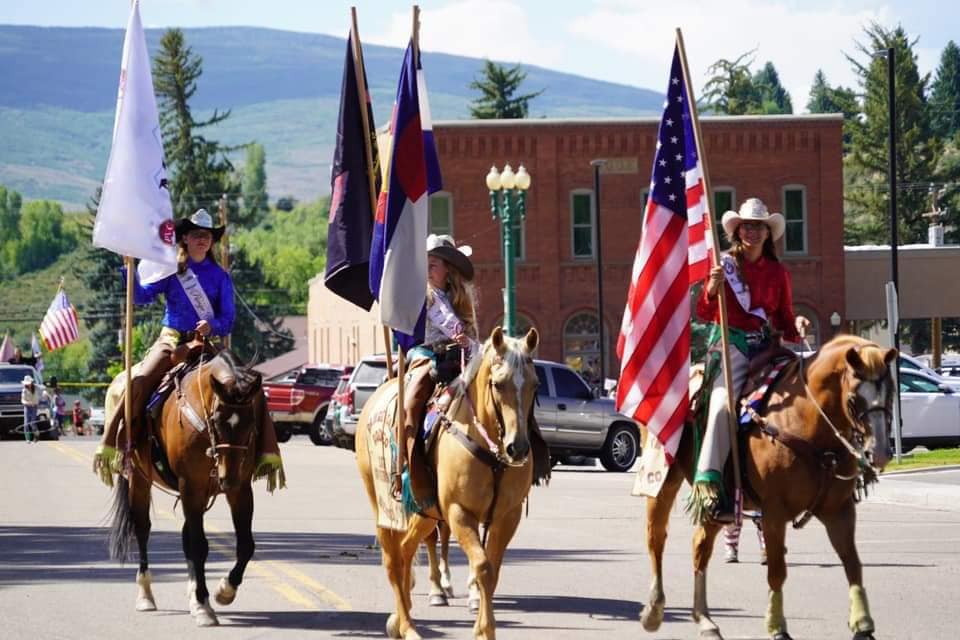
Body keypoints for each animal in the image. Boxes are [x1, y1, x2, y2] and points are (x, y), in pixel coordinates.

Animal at [106, 350, 266, 624]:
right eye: (217, 420)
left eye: (251, 421)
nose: (228, 478)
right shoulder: (191, 486)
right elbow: (199, 545)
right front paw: (203, 605)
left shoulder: (241, 491)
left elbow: (246, 545)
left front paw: (224, 591)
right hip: (140, 480)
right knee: (143, 529)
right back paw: (146, 594)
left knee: (185, 536)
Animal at [358, 328, 540, 636]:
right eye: (498, 384)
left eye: (535, 385)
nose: (518, 448)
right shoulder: (458, 512)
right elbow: (483, 566)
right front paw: (484, 630)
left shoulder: (507, 516)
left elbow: (493, 570)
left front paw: (482, 626)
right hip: (382, 505)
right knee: (393, 560)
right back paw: (408, 627)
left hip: (426, 511)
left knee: (406, 549)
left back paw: (400, 617)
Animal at [640, 336, 896, 640]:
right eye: (854, 399)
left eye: (892, 393)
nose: (879, 452)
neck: (808, 423)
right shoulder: (774, 512)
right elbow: (777, 571)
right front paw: (777, 626)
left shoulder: (839, 510)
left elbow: (853, 564)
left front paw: (862, 624)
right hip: (663, 482)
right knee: (656, 537)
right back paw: (654, 609)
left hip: (718, 501)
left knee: (700, 545)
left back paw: (706, 620)